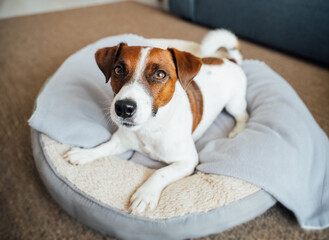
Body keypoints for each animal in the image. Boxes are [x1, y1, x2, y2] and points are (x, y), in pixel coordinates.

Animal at [62, 29, 247, 215]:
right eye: (118, 70)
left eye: (160, 74)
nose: (123, 108)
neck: (150, 127)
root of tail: (229, 60)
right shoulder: (121, 140)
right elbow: (104, 147)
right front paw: (85, 153)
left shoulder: (187, 161)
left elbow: (160, 173)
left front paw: (145, 195)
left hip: (234, 104)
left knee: (242, 115)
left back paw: (237, 131)